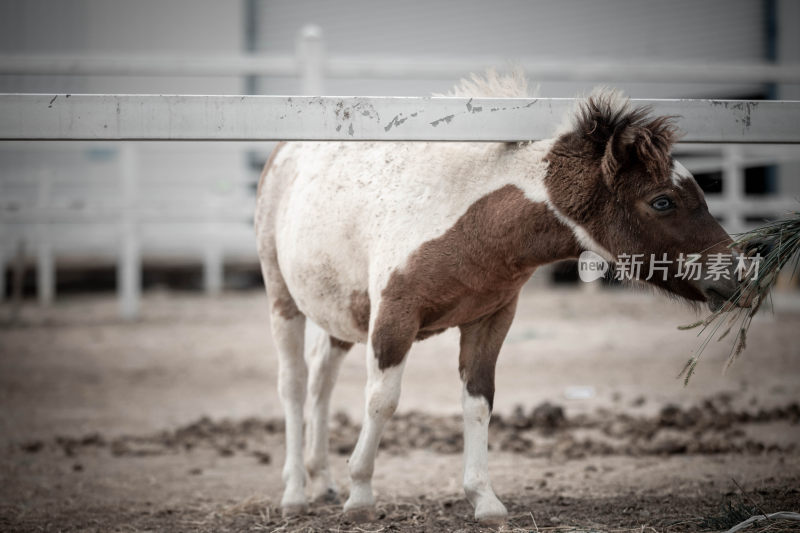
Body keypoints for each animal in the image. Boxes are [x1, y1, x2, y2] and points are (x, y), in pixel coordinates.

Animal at [256, 71, 752, 524]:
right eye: (662, 201)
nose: (741, 274)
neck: (475, 222)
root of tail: (286, 150)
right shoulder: (394, 318)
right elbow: (382, 401)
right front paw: (360, 495)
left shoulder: (490, 319)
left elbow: (479, 401)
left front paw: (484, 499)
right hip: (284, 303)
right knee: (293, 385)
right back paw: (295, 492)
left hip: (339, 315)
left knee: (321, 382)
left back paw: (321, 480)